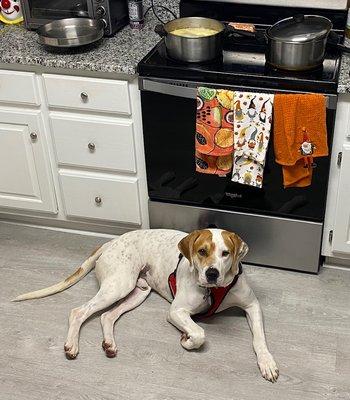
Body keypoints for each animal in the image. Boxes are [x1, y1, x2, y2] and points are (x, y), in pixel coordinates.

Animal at [13, 228, 278, 382]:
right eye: (202, 252)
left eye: (225, 253)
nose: (211, 273)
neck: (214, 290)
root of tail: (111, 242)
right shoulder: (176, 311)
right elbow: (200, 332)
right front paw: (187, 340)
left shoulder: (252, 305)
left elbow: (259, 339)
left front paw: (267, 363)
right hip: (118, 285)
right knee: (79, 311)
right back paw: (71, 345)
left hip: (137, 291)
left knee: (106, 316)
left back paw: (109, 344)